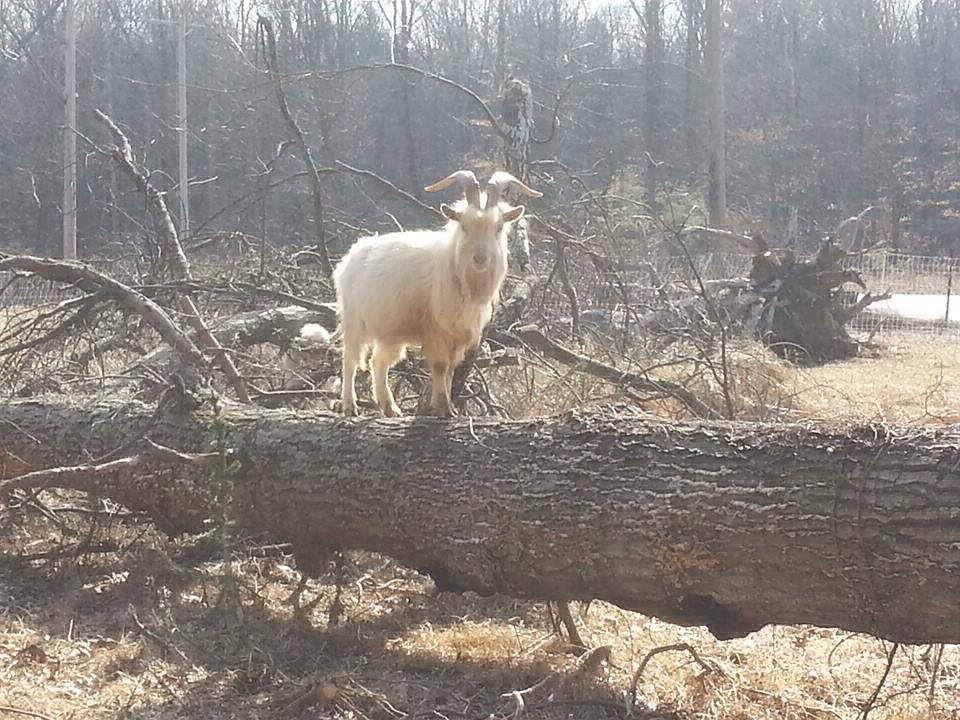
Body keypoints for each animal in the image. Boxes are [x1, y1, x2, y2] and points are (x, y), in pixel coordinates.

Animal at [333, 169, 542, 417]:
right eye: (464, 227)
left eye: (498, 227)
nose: (480, 258)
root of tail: (350, 256)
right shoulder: (436, 330)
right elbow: (440, 367)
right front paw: (442, 407)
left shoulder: (458, 335)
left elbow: (451, 370)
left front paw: (448, 407)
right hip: (354, 321)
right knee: (350, 360)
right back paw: (350, 406)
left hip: (391, 332)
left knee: (379, 362)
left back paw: (390, 408)